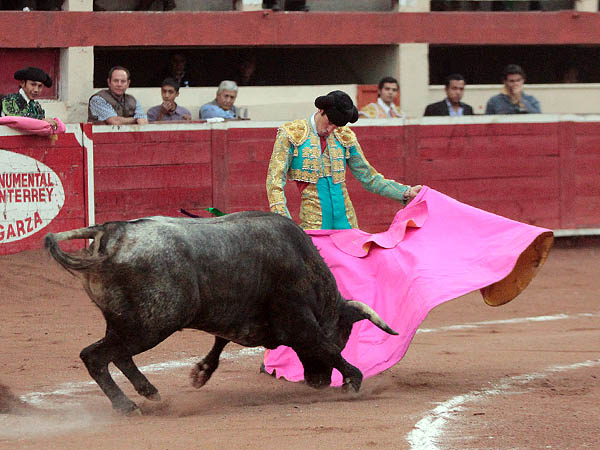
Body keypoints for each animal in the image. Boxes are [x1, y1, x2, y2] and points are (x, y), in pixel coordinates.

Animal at [43, 213, 398, 414]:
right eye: (342, 337)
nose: (319, 382)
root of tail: (112, 233)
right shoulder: (299, 320)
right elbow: (321, 346)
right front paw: (353, 381)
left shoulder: (237, 320)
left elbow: (220, 342)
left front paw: (200, 373)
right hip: (149, 325)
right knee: (95, 356)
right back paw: (127, 406)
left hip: (126, 324)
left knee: (116, 355)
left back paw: (150, 393)